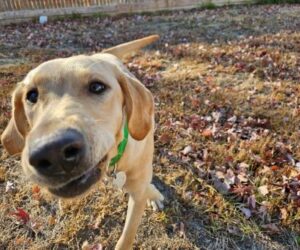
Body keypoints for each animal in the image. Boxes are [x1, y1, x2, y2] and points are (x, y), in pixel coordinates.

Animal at [0, 35, 164, 250]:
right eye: (32, 95)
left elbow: (127, 236)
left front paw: (150, 193)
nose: (53, 151)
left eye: (97, 87)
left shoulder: (137, 192)